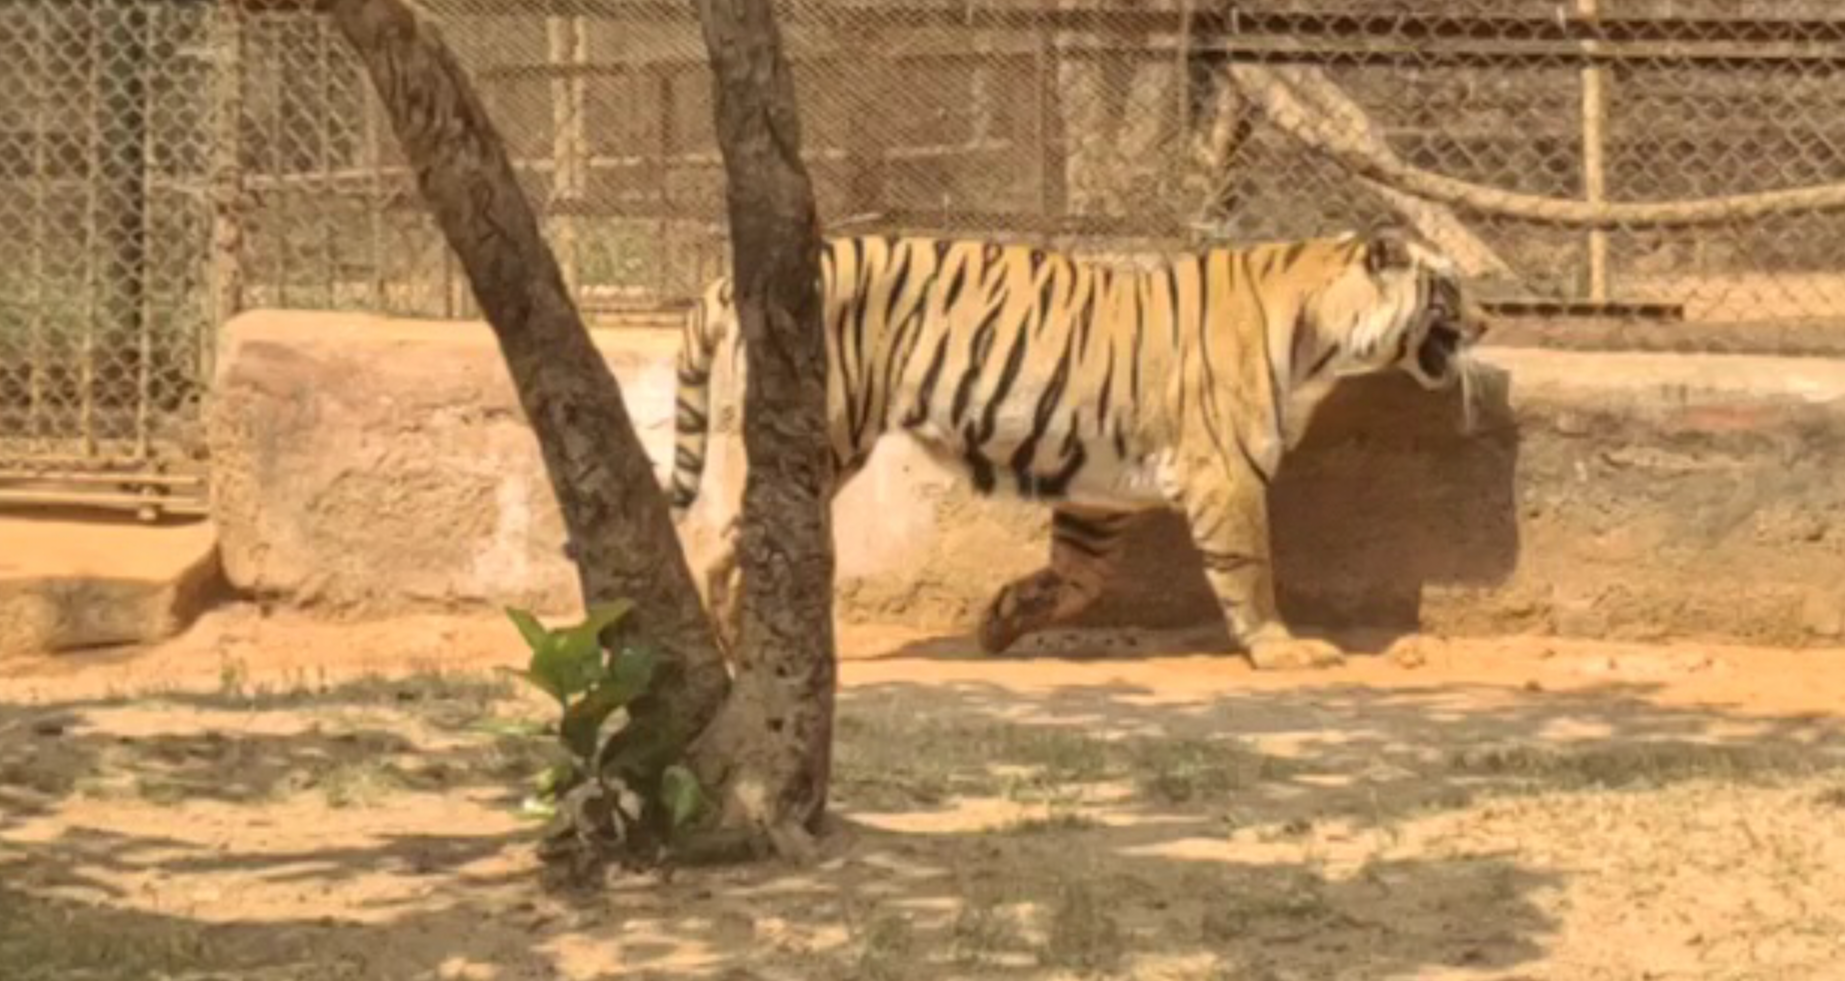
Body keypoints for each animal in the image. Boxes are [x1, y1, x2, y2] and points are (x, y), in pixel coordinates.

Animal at [664, 225, 1483, 671]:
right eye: (1447, 289)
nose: (1482, 322)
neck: (1324, 337)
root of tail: (725, 284)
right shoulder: (1226, 475)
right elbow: (1250, 571)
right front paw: (1282, 649)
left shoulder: (1098, 488)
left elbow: (1079, 578)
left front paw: (999, 620)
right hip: (815, 437)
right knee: (716, 534)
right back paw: (726, 644)